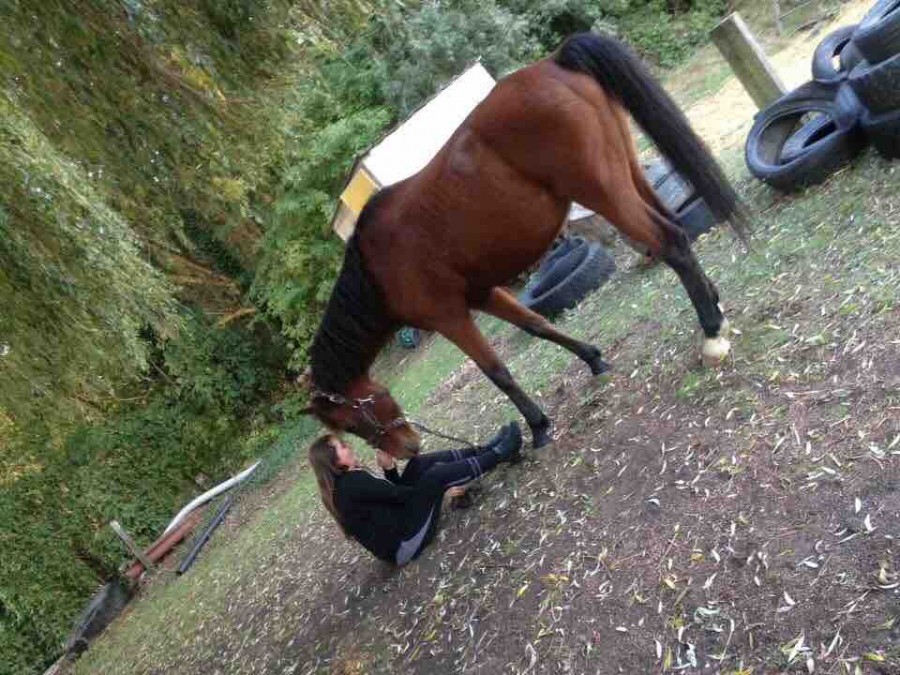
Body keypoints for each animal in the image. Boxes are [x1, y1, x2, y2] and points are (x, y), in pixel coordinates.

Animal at [304, 31, 748, 458]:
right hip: (629, 171)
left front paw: (538, 427)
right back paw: (715, 304)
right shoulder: (482, 295)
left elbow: (497, 372)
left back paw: (711, 333)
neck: (378, 267)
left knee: (669, 242)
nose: (407, 450)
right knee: (677, 230)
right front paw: (593, 360)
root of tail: (554, 64)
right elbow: (538, 325)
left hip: (604, 192)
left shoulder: (448, 316)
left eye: (353, 421)